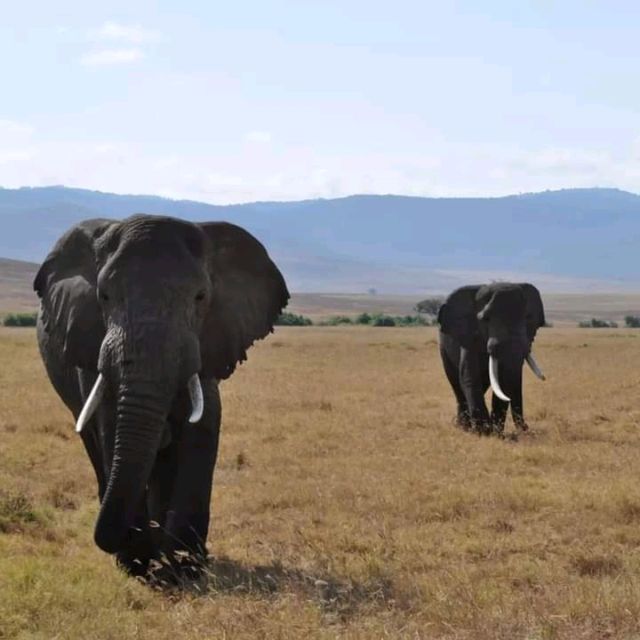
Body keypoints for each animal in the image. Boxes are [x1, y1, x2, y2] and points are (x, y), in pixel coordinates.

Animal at [32, 215, 288, 580]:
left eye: (200, 297)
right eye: (104, 296)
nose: (110, 540)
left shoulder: (209, 338)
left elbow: (202, 429)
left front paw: (184, 568)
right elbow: (112, 429)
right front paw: (139, 565)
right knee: (97, 447)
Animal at [440, 284, 544, 436]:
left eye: (527, 318)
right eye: (486, 319)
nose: (526, 428)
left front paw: (495, 433)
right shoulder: (468, 335)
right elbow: (469, 375)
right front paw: (484, 431)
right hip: (443, 349)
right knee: (457, 386)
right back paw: (463, 427)